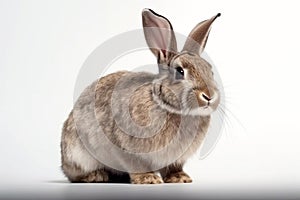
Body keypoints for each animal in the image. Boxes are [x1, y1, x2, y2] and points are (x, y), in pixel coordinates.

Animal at [60, 9, 220, 184]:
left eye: (210, 71)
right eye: (180, 71)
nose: (209, 96)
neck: (165, 103)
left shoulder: (175, 158)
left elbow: (173, 167)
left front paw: (180, 178)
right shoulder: (126, 147)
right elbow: (136, 165)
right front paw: (148, 179)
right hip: (79, 154)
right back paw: (96, 175)